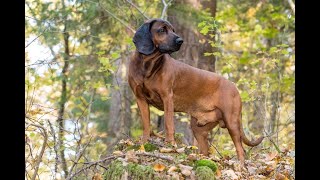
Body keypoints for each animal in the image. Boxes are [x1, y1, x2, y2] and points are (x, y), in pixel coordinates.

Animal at [127, 19, 262, 164]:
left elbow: (168, 124)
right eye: (162, 30)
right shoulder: (140, 98)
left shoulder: (167, 97)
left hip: (231, 121)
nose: (180, 40)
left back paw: (240, 165)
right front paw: (144, 142)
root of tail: (234, 87)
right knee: (205, 151)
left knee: (240, 149)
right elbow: (146, 123)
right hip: (199, 128)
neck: (148, 66)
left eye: (173, 30)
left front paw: (170, 145)